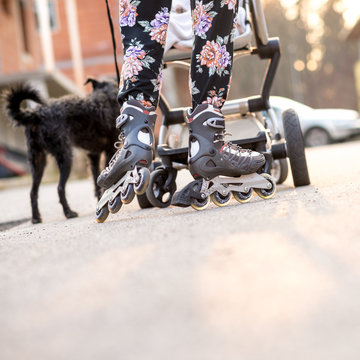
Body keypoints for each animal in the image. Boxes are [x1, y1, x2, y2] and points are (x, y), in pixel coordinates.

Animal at [3, 78, 119, 224]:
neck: (105, 92)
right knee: (60, 188)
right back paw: (69, 213)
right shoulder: (109, 151)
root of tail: (37, 114)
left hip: (37, 161)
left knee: (33, 192)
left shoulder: (93, 155)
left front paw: (100, 201)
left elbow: (96, 181)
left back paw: (36, 218)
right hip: (65, 157)